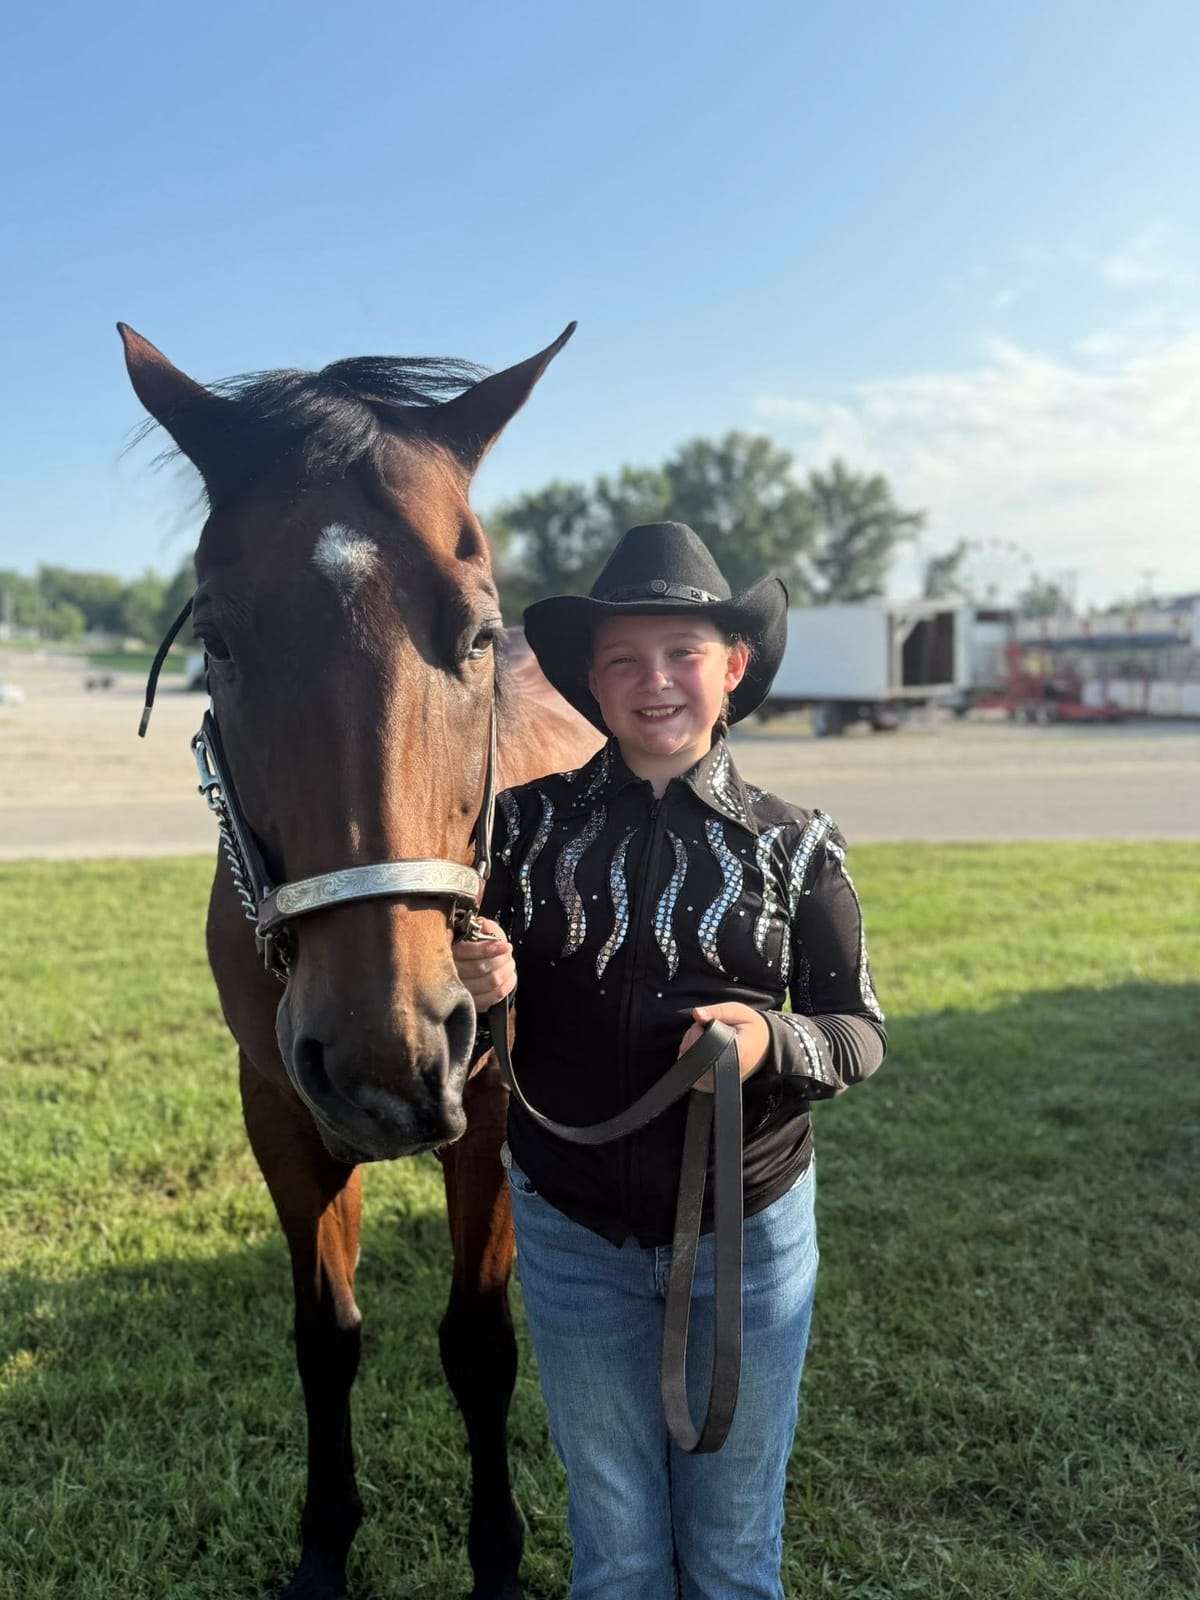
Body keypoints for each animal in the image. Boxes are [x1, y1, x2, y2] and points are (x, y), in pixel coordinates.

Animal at [119, 322, 602, 1600]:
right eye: (218, 638)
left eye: (476, 629)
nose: (387, 1056)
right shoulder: (280, 1106)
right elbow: (324, 1336)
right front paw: (324, 1547)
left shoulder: (487, 1105)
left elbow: (478, 1342)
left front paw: (496, 1561)